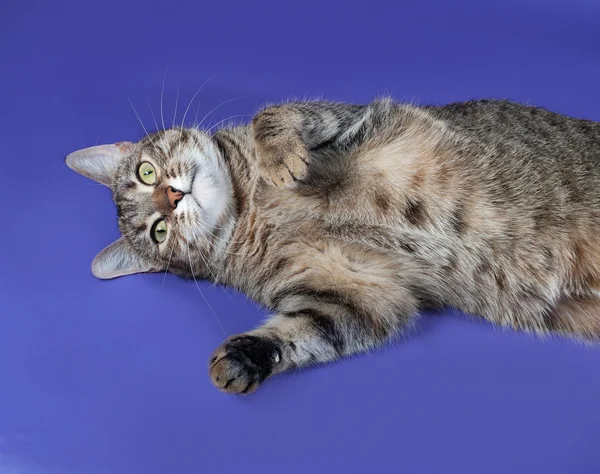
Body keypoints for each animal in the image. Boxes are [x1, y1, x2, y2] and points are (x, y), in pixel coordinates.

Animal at [64, 97, 600, 392]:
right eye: (159, 232)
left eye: (146, 172)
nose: (172, 199)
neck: (251, 206)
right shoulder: (359, 292)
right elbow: (306, 332)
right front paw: (246, 358)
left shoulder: (345, 118)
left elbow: (270, 114)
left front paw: (278, 156)